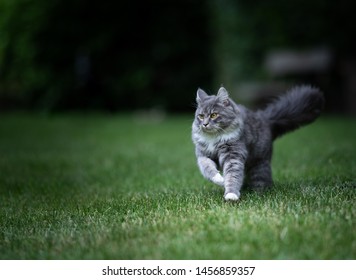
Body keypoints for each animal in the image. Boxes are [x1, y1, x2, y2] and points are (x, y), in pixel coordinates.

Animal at [192, 85, 326, 201]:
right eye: (201, 116)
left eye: (214, 115)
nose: (204, 124)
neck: (214, 138)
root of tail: (265, 118)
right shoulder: (203, 155)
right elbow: (208, 168)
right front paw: (220, 180)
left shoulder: (233, 155)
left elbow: (232, 175)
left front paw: (231, 194)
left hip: (259, 164)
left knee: (263, 180)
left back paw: (258, 192)